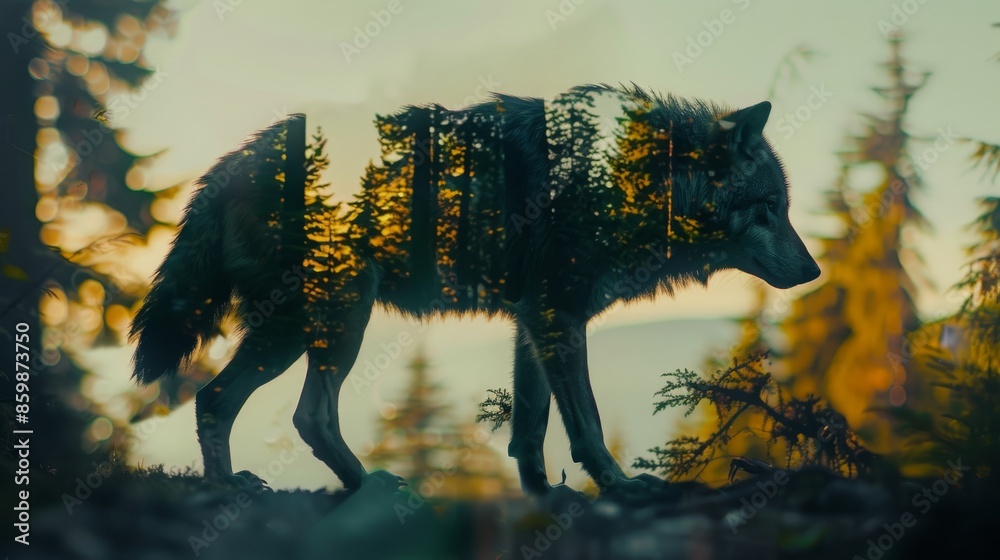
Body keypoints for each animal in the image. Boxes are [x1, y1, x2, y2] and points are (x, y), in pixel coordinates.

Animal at [130, 85, 820, 495]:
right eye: (771, 210)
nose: (814, 271)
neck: (638, 183)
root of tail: (230, 164)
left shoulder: (532, 321)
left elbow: (531, 428)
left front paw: (541, 495)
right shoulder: (557, 314)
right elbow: (588, 423)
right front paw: (621, 487)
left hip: (319, 324)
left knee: (255, 407)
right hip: (329, 320)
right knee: (259, 406)